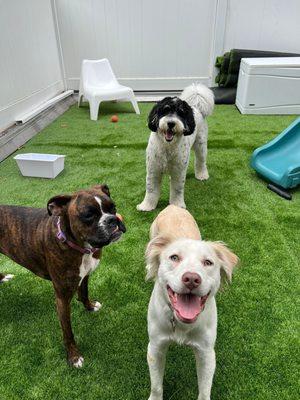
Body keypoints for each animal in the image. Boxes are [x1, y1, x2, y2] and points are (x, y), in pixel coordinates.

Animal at [0, 184, 126, 366]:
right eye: (89, 215)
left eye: (113, 208)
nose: (112, 219)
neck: (78, 246)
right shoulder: (62, 298)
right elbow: (68, 331)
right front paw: (73, 356)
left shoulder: (84, 275)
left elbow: (84, 293)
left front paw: (89, 306)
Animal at [137, 83, 214, 211]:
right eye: (165, 110)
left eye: (181, 113)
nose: (171, 123)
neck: (168, 146)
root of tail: (196, 107)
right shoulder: (153, 169)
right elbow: (151, 189)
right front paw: (146, 206)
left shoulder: (179, 171)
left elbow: (177, 189)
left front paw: (177, 205)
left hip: (201, 145)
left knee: (201, 161)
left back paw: (202, 175)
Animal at [146, 206, 239, 400]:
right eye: (174, 258)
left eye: (208, 262)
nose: (191, 279)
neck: (182, 324)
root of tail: (173, 206)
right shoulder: (155, 347)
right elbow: (156, 386)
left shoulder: (207, 353)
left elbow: (204, 390)